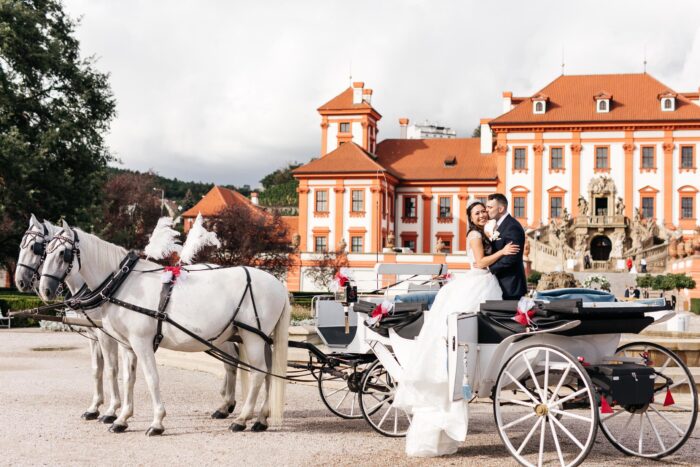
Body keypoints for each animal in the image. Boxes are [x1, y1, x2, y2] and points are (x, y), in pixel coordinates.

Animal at [14, 216, 121, 424]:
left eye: (33, 247)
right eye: (21, 246)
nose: (19, 281)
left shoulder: (107, 335)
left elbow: (112, 369)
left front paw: (112, 411)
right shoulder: (94, 335)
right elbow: (97, 369)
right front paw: (94, 407)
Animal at [37, 222, 290, 436]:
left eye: (63, 253)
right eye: (45, 251)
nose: (45, 290)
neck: (124, 283)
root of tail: (278, 284)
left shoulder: (141, 342)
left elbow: (151, 378)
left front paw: (157, 421)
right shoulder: (127, 345)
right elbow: (128, 378)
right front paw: (122, 418)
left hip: (252, 336)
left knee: (258, 373)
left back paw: (242, 419)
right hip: (259, 338)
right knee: (268, 373)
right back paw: (261, 418)